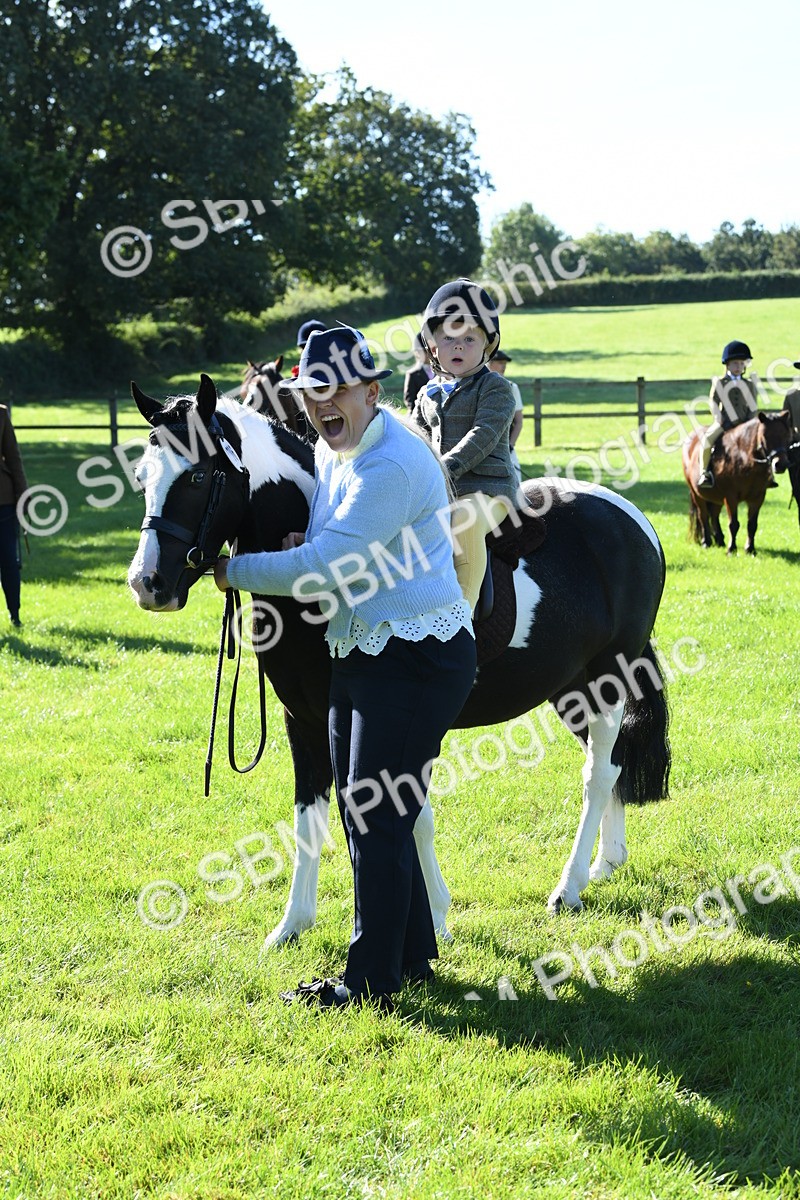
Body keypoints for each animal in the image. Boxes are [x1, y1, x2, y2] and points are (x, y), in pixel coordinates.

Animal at [127, 375, 671, 948]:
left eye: (197, 476)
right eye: (143, 476)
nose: (147, 584)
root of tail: (633, 520)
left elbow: (408, 817)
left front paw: (434, 918)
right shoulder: (306, 719)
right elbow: (311, 816)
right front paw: (293, 925)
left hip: (607, 680)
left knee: (599, 772)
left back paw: (568, 888)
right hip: (570, 689)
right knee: (612, 765)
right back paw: (605, 863)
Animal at [682, 412, 795, 555]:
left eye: (787, 436)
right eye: (766, 436)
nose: (781, 464)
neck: (745, 459)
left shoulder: (758, 498)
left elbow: (752, 525)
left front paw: (750, 549)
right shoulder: (731, 497)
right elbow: (733, 524)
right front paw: (731, 549)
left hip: (716, 497)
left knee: (714, 515)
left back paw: (720, 541)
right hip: (697, 494)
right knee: (704, 516)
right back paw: (706, 542)